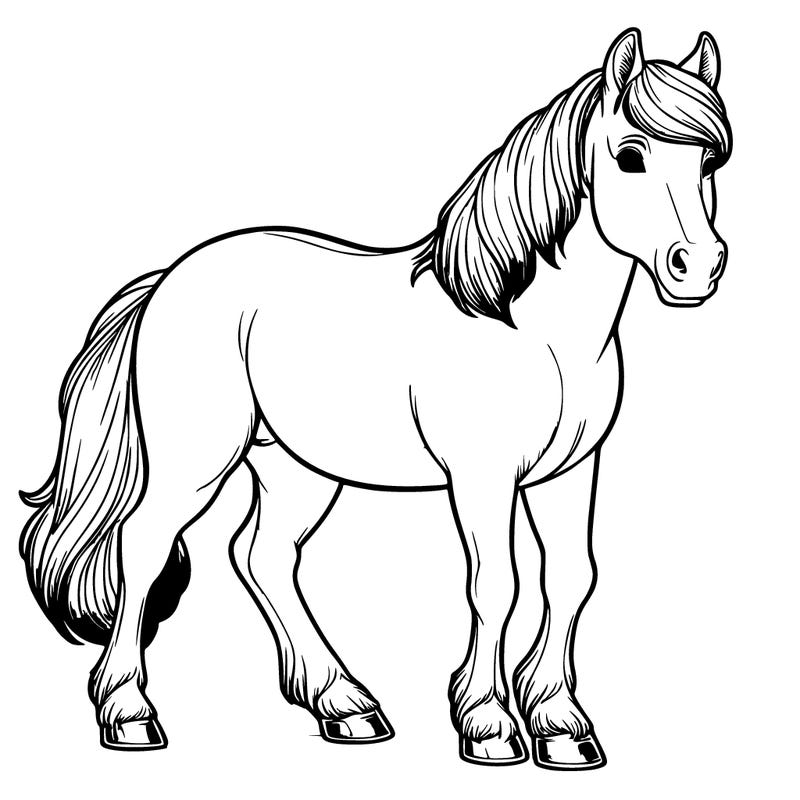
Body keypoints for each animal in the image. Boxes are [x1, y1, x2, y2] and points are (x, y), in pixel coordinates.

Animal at [20, 28, 731, 769]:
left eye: (710, 160)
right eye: (630, 156)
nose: (697, 266)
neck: (526, 326)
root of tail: (169, 279)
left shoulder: (568, 472)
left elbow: (569, 578)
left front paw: (560, 723)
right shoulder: (482, 477)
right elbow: (495, 583)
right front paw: (487, 721)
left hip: (296, 468)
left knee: (263, 556)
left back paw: (345, 705)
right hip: (197, 462)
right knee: (144, 545)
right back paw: (129, 713)